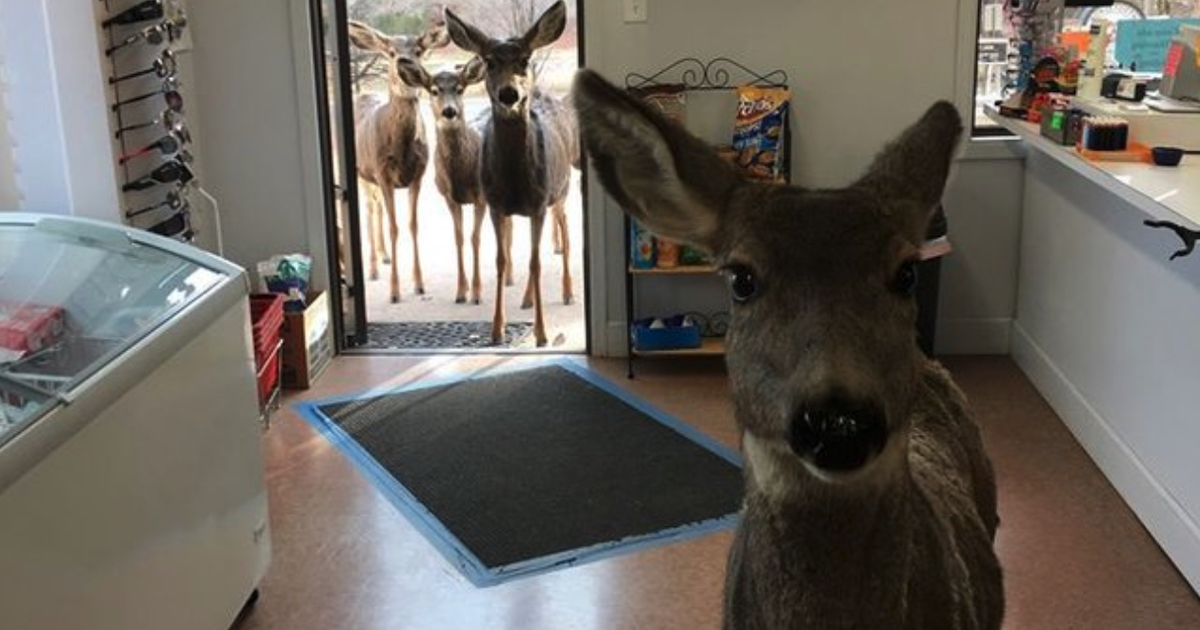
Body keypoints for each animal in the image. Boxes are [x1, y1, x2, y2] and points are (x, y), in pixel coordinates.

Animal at [350, 19, 453, 302]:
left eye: (418, 50)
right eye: (391, 52)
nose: (405, 63)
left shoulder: (418, 175)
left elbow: (411, 225)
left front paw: (419, 284)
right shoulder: (382, 173)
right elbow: (394, 226)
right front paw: (394, 291)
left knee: (376, 208)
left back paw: (384, 256)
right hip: (361, 173)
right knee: (369, 210)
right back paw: (373, 268)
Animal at [444, 0, 578, 345]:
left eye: (525, 59)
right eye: (489, 62)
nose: (509, 94)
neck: (516, 180)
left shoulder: (539, 202)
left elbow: (536, 262)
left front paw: (542, 333)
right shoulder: (495, 204)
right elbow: (502, 260)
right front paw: (496, 329)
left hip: (561, 190)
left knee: (564, 232)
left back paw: (568, 292)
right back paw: (528, 299)